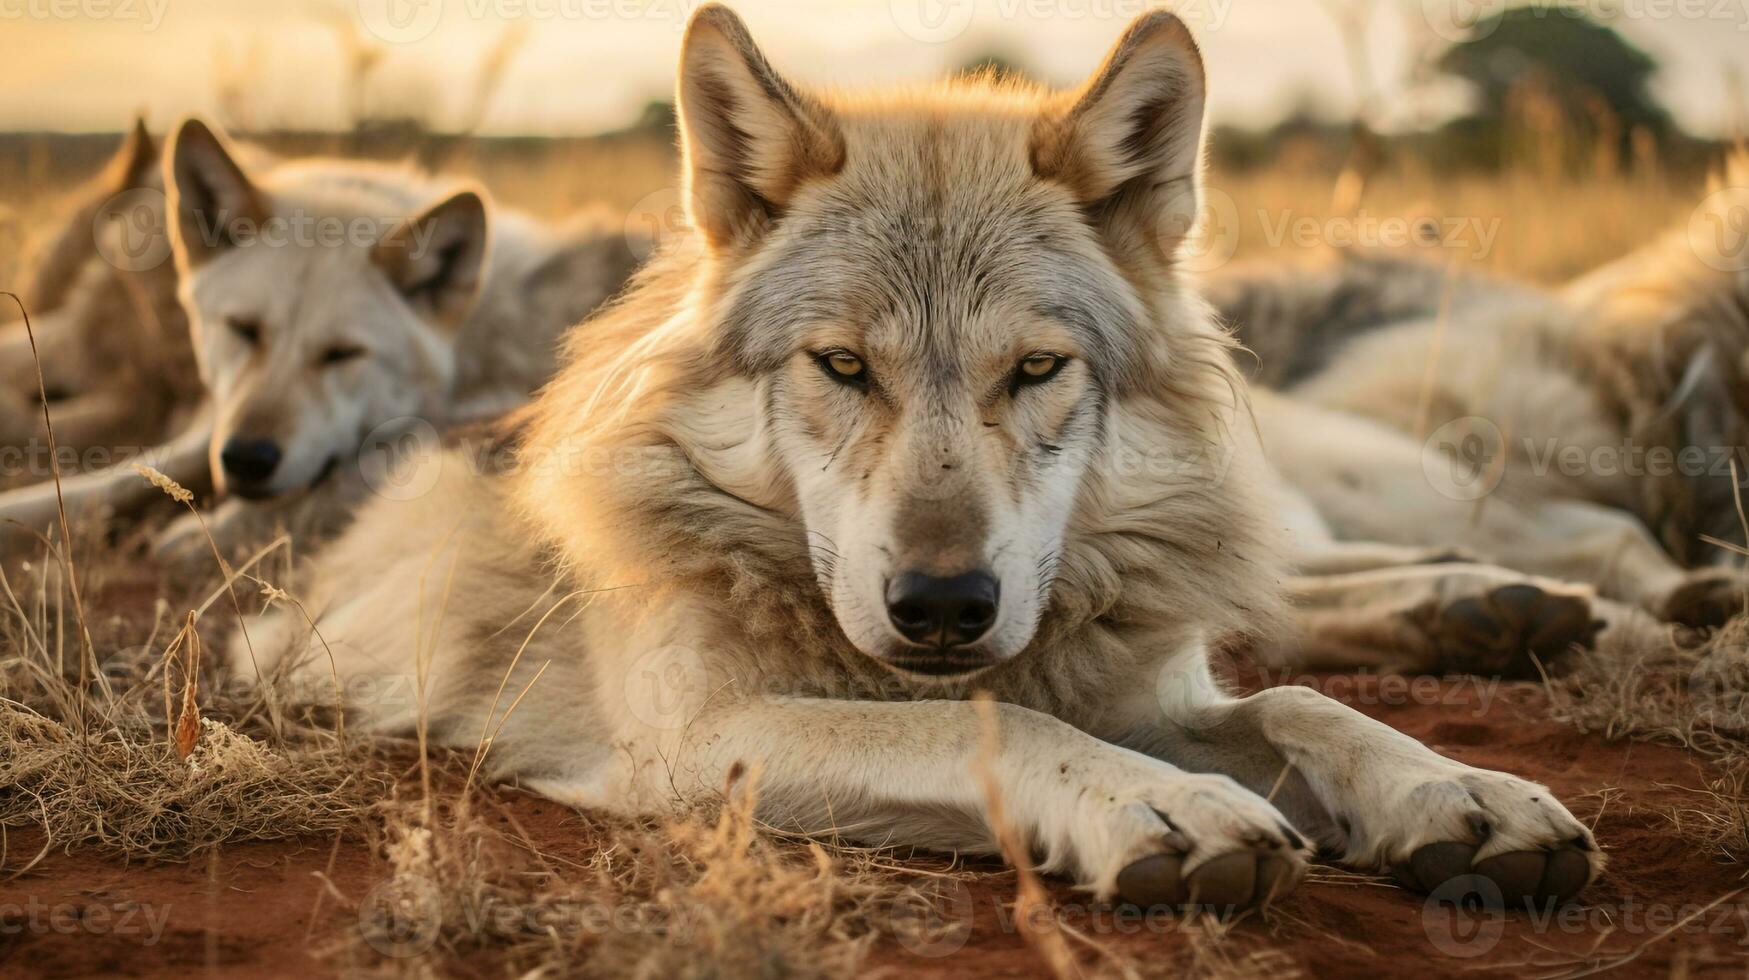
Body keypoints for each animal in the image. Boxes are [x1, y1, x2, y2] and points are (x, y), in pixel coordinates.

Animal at [0, 116, 643, 560]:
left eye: (341, 354)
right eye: (244, 329)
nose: (249, 459)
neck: (477, 340)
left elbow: (332, 486)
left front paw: (199, 534)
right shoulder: (210, 430)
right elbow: (106, 482)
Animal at [239, 3, 1602, 917]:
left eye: (1037, 368)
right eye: (843, 366)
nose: (944, 604)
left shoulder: (1148, 688)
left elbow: (1302, 701)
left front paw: (1460, 792)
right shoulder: (692, 740)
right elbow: (986, 722)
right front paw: (1160, 803)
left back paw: (1496, 603)